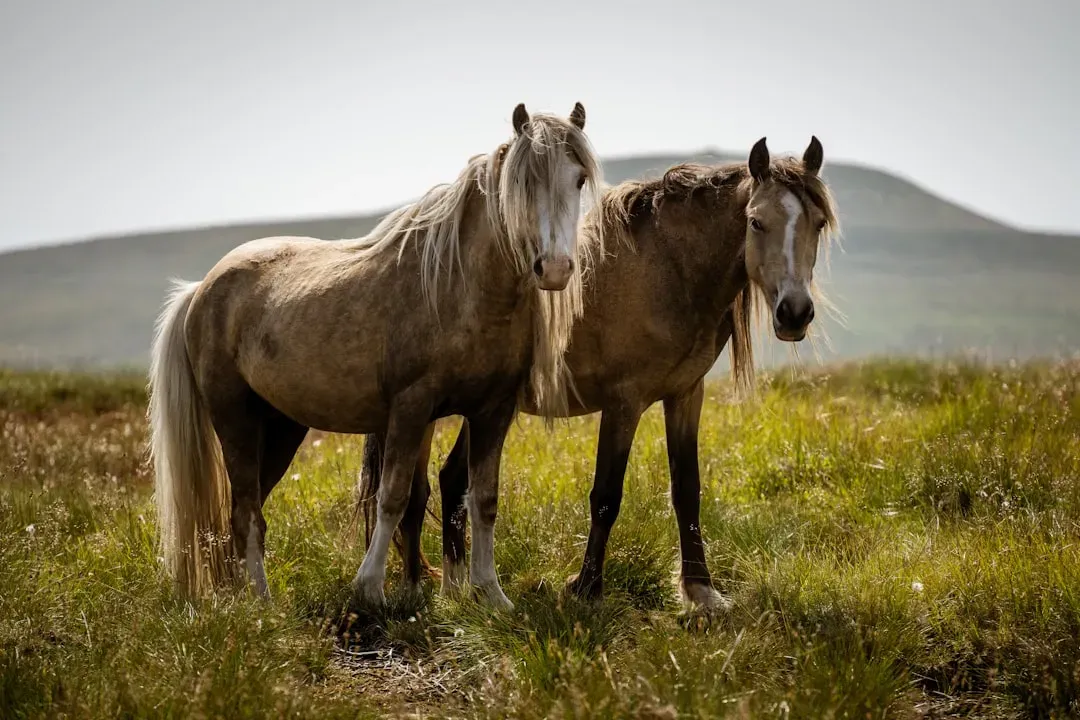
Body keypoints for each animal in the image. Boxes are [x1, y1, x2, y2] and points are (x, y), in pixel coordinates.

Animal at [147, 102, 605, 609]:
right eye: (521, 183)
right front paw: (370, 588)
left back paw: (240, 598)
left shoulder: (493, 411)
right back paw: (263, 604)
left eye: (578, 179)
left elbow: (482, 498)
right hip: (235, 420)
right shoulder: (410, 408)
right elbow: (393, 496)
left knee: (243, 513)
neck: (461, 289)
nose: (555, 268)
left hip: (282, 428)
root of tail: (201, 288)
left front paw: (491, 593)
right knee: (247, 512)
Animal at [356, 136, 840, 611]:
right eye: (756, 222)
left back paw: (457, 588)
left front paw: (701, 591)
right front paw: (587, 587)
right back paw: (415, 589)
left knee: (451, 479)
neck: (669, 269)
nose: (795, 313)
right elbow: (606, 495)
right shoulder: (624, 402)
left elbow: (688, 490)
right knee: (416, 492)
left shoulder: (686, 394)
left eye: (818, 223)